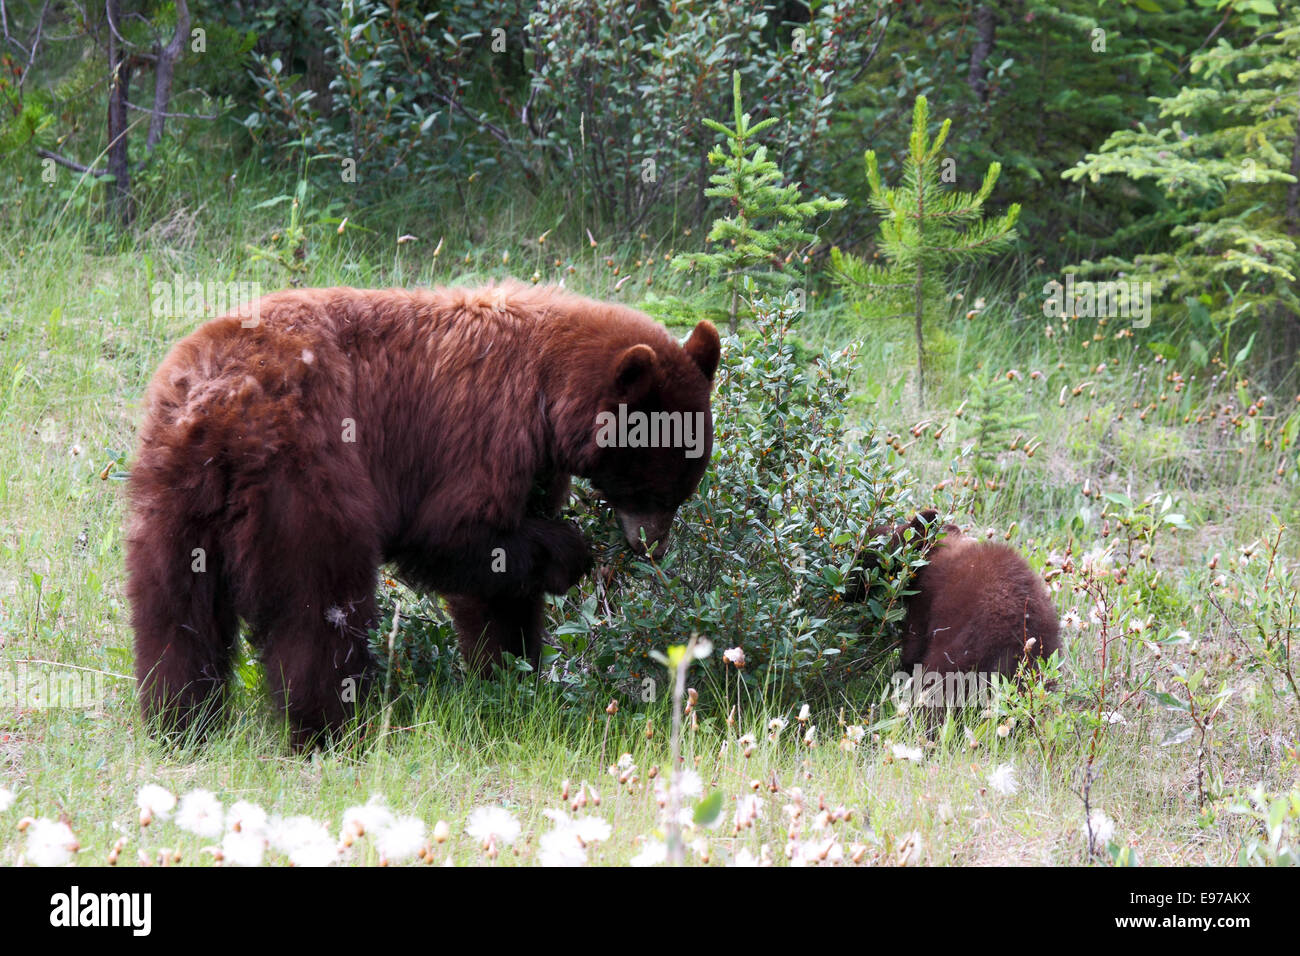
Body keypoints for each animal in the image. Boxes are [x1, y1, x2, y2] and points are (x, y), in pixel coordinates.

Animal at [126, 282, 722, 749]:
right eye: (653, 485)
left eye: (682, 487)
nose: (652, 546)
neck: (549, 388)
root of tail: (226, 400)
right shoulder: (485, 430)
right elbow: (456, 533)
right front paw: (569, 555)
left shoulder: (534, 462)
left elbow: (498, 585)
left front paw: (512, 674)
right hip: (305, 472)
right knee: (317, 609)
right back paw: (332, 730)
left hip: (173, 486)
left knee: (174, 608)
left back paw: (180, 721)